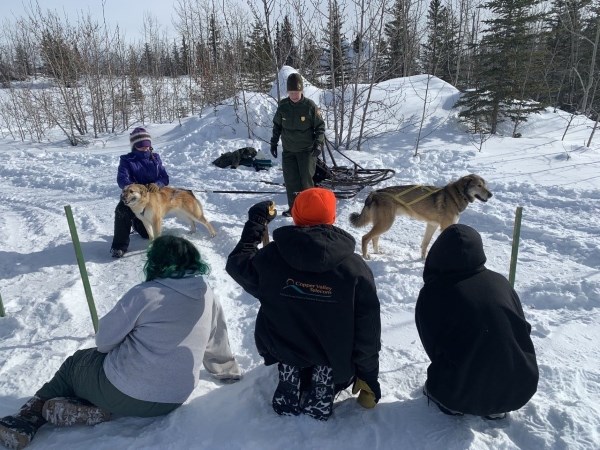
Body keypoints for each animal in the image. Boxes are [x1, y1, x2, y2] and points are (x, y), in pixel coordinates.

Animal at [346, 176, 492, 260]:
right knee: (365, 237)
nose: (491, 194)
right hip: (386, 223)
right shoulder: (445, 227)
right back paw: (366, 256)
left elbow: (425, 244)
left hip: (384, 223)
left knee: (374, 238)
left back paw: (377, 252)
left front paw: (423, 259)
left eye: (485, 185)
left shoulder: (432, 225)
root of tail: (374, 193)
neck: (457, 195)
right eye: (479, 185)